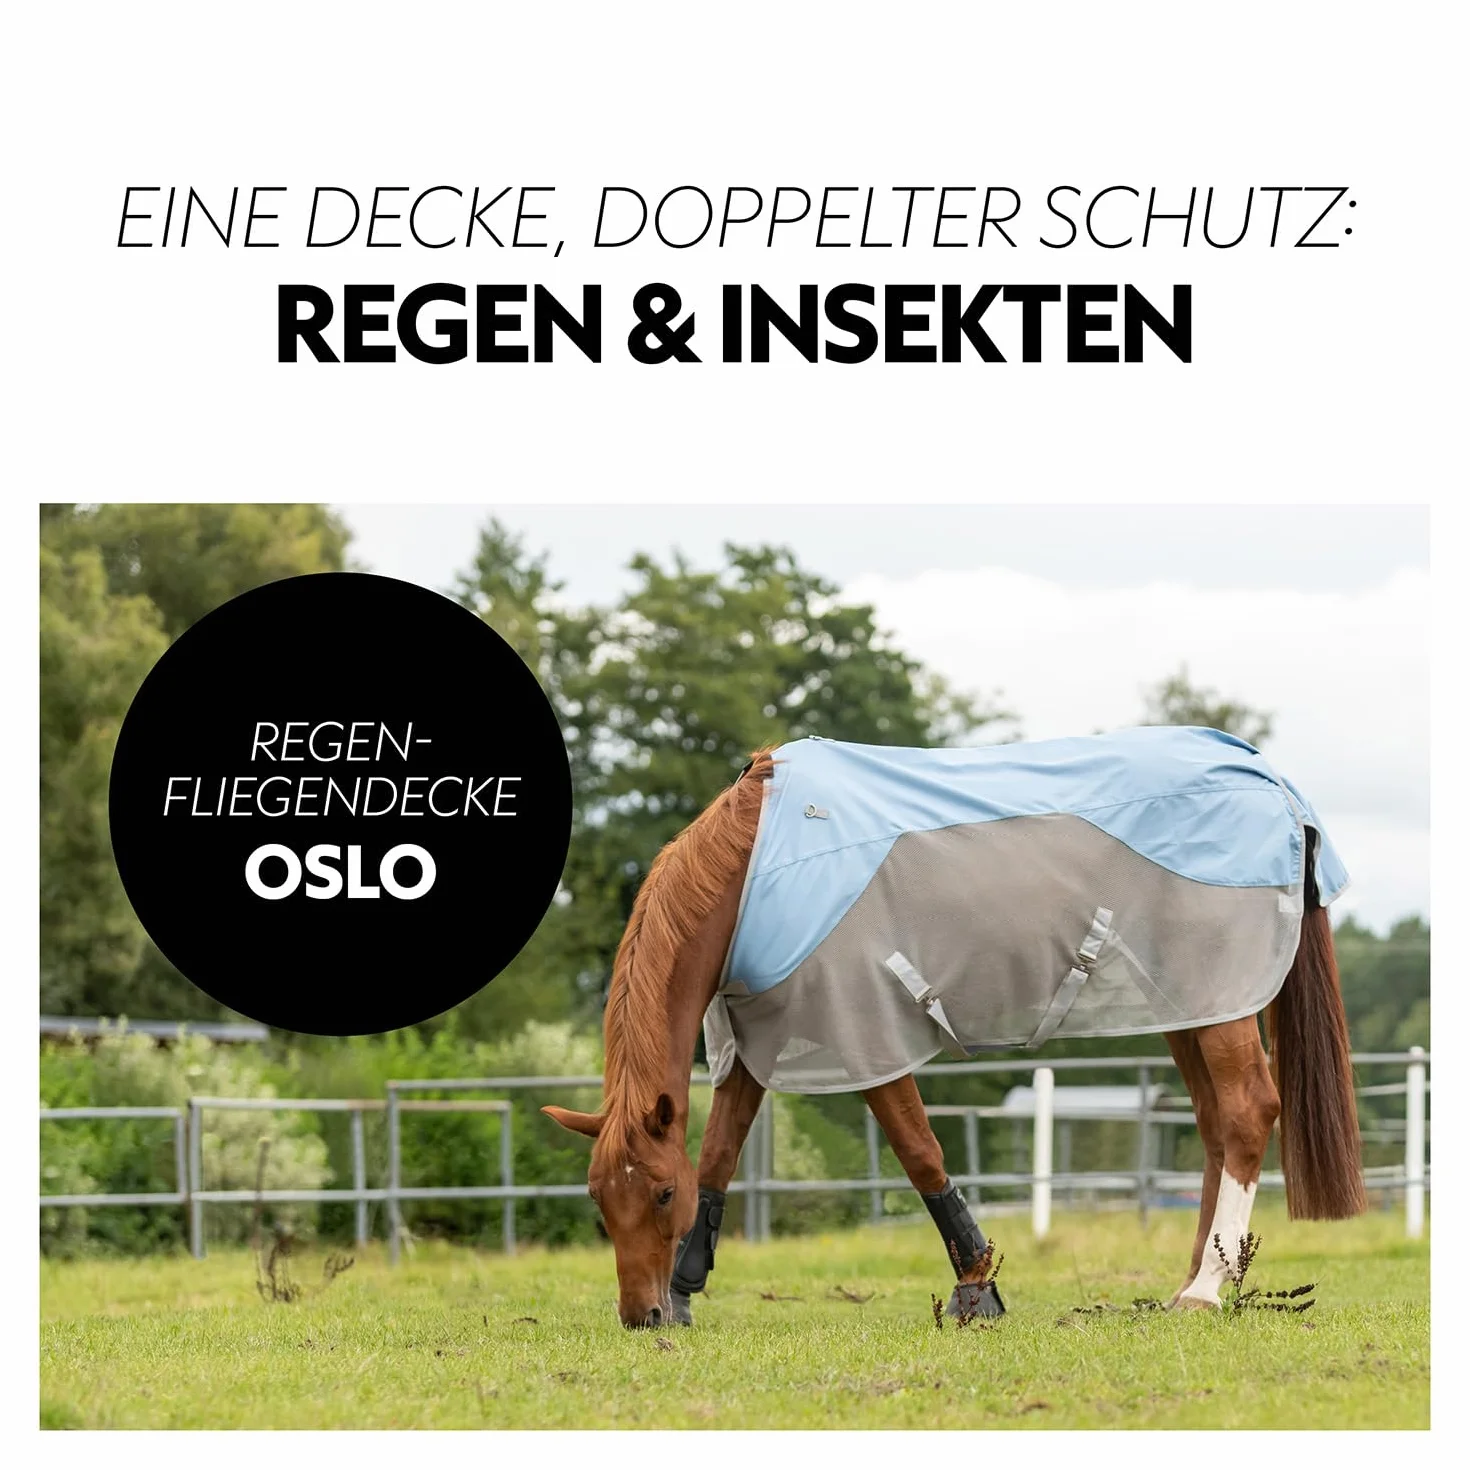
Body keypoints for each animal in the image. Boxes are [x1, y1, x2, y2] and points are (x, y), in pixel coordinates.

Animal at [544, 732, 1366, 1329]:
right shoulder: (754, 1044)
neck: (757, 868)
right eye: (598, 1199)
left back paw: (1205, 1289)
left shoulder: (864, 1036)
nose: (640, 1316)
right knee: (1216, 1125)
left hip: (1222, 1006)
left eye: (658, 1195)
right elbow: (718, 1157)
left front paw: (978, 1286)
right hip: (1191, 1006)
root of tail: (1271, 782)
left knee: (1247, 1111)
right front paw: (687, 1290)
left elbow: (920, 1153)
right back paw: (1195, 1280)